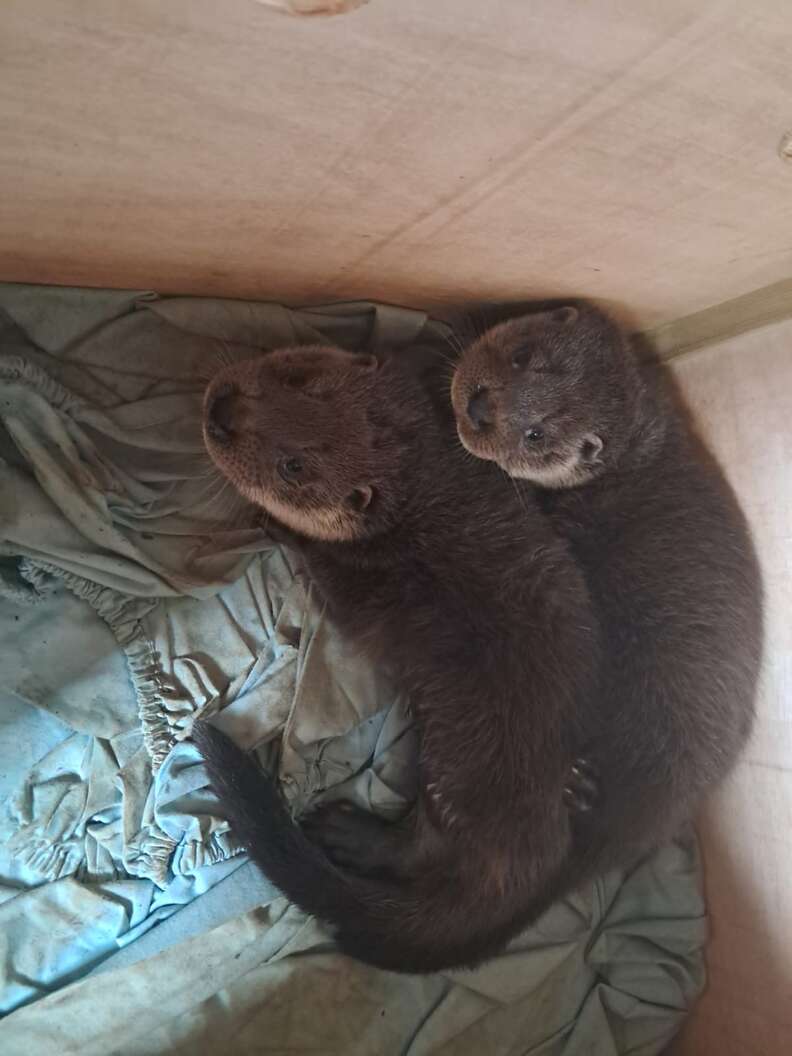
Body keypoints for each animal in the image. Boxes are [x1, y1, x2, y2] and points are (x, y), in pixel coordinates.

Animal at [195, 344, 604, 971]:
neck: (421, 487)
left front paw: (273, 524)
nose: (223, 412)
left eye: (293, 468)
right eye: (297, 377)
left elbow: (324, 575)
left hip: (459, 777)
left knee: (421, 852)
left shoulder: (357, 575)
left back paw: (346, 832)